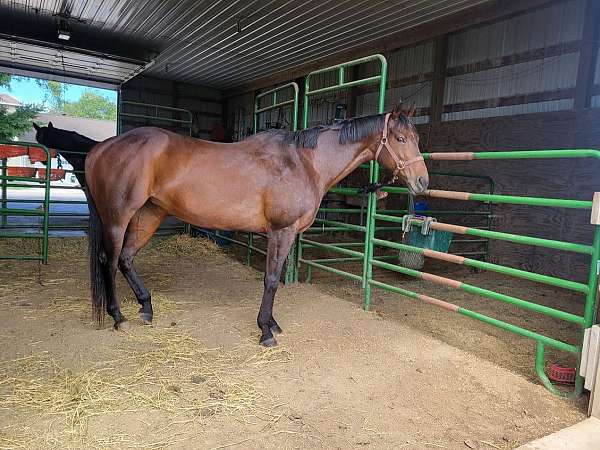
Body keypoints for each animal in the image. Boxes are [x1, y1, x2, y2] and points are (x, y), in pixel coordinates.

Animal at [86, 104, 428, 344]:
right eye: (399, 138)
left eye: (416, 138)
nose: (422, 182)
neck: (303, 162)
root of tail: (100, 148)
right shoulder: (281, 231)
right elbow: (272, 279)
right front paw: (266, 331)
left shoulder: (288, 235)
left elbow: (275, 278)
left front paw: (272, 323)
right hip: (117, 218)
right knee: (110, 260)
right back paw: (117, 316)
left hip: (149, 214)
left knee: (127, 259)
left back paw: (146, 307)